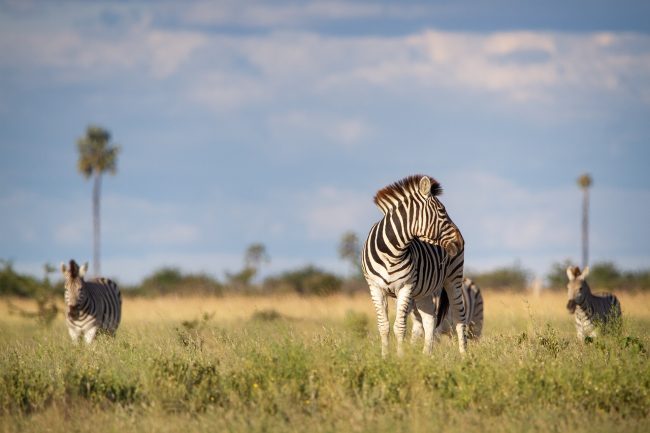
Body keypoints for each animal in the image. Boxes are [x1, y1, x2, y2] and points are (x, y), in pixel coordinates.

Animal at [361, 175, 467, 356]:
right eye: (442, 211)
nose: (461, 242)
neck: (391, 252)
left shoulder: (405, 286)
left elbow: (400, 327)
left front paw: (400, 358)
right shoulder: (375, 287)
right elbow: (383, 326)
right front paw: (385, 357)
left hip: (454, 279)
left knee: (459, 319)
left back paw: (465, 356)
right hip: (424, 290)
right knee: (430, 319)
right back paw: (426, 356)